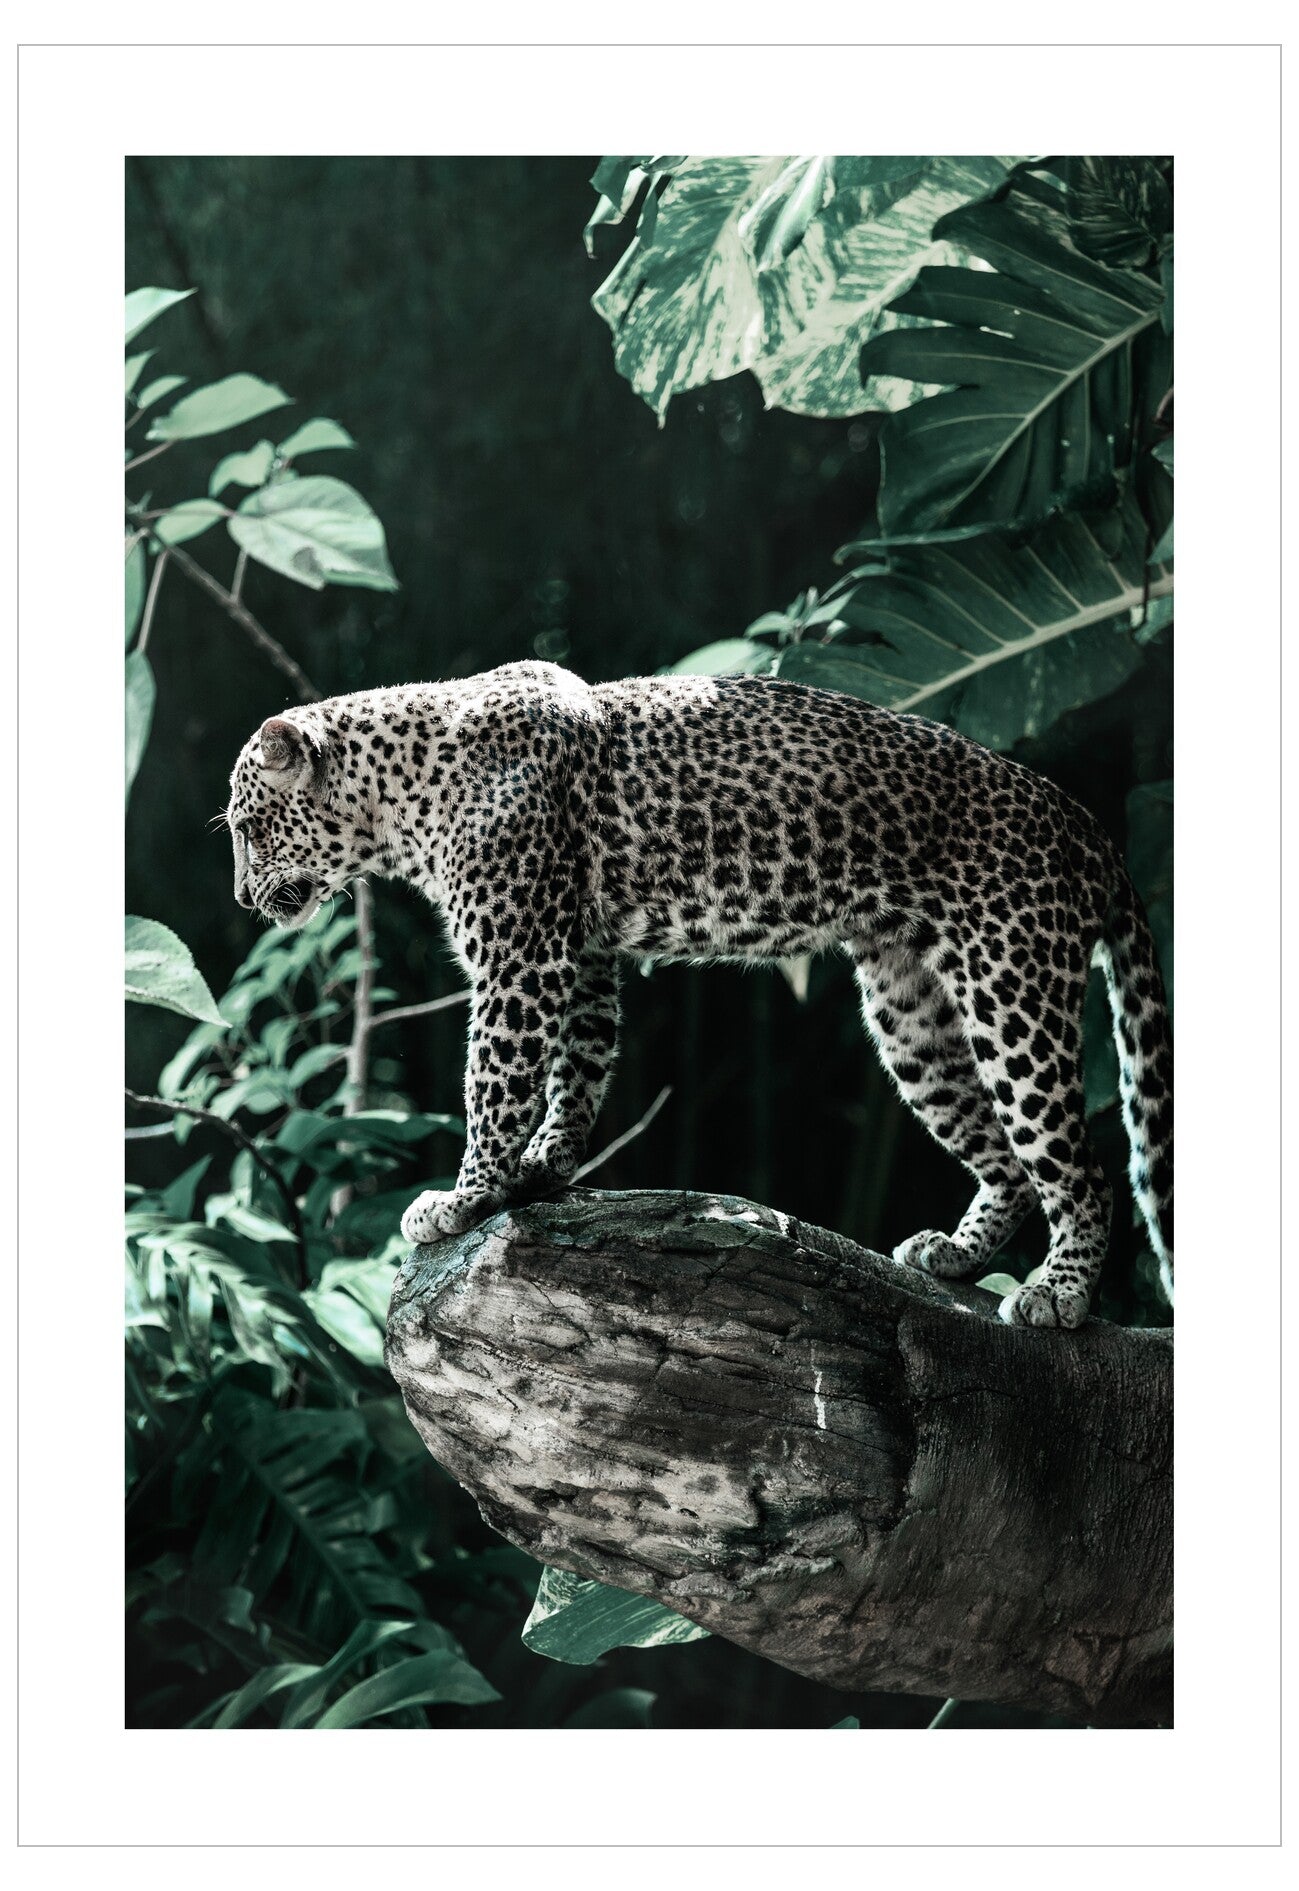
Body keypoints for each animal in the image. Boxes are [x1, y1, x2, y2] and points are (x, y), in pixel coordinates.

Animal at [226, 660, 1173, 1330]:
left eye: (247, 827)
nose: (239, 897)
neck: (401, 795)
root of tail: (1087, 825)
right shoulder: (580, 955)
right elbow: (579, 1066)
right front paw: (543, 1168)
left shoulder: (518, 963)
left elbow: (495, 1082)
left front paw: (464, 1196)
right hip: (911, 1014)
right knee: (1006, 1158)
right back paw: (952, 1254)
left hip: (1011, 988)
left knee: (1081, 1164)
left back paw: (1057, 1295)